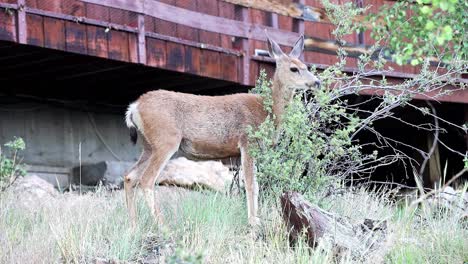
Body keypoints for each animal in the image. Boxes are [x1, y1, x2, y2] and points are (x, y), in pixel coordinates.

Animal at [124, 34, 320, 227]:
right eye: (294, 68)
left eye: (306, 66)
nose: (317, 81)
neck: (268, 111)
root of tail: (135, 106)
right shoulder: (248, 143)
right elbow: (251, 185)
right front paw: (253, 222)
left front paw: (255, 219)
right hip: (166, 140)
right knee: (146, 180)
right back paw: (163, 226)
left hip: (149, 145)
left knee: (129, 176)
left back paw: (133, 226)